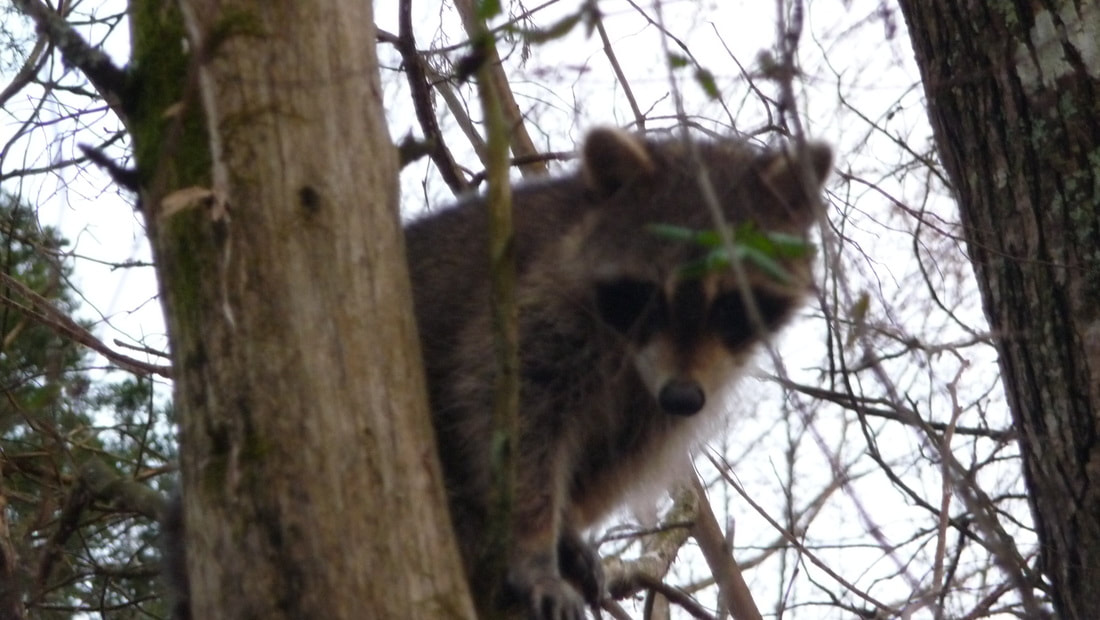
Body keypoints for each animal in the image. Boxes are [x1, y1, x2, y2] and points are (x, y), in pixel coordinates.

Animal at [405, 128, 832, 620]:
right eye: (650, 296)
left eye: (729, 305)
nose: (682, 397)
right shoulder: (530, 307)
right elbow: (508, 418)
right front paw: (534, 547)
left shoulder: (672, 394)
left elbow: (617, 454)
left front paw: (565, 529)